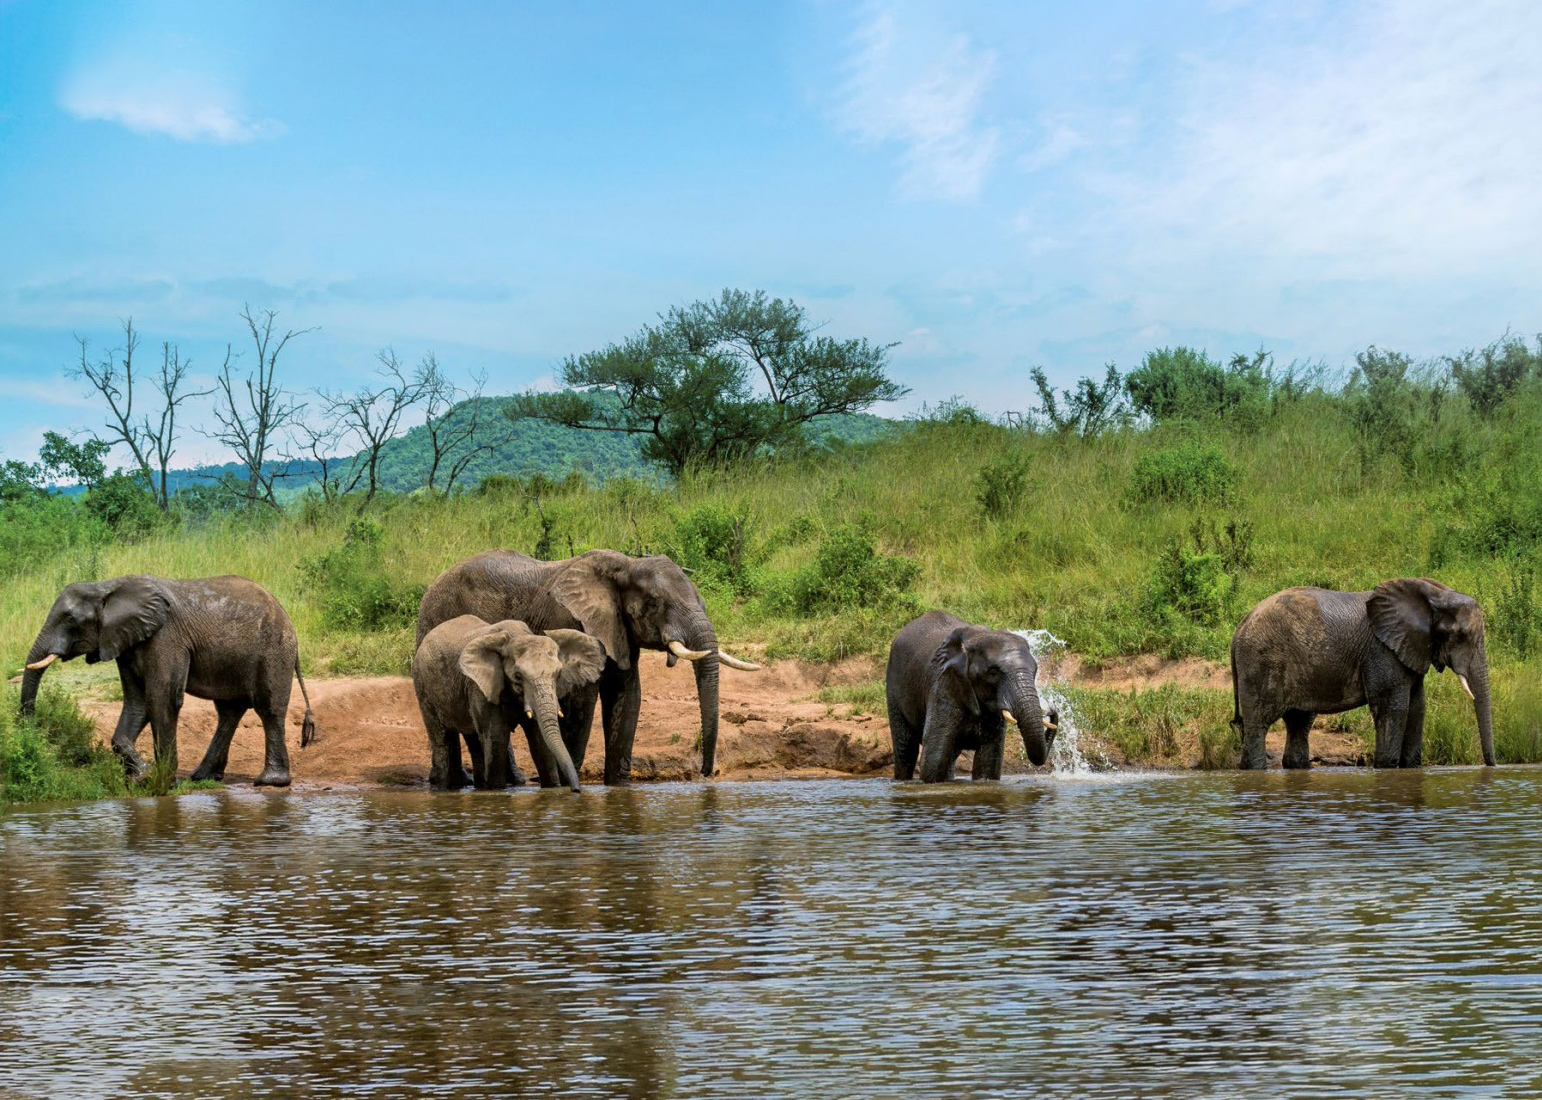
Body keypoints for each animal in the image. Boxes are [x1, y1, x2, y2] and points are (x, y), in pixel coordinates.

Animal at [18, 574, 316, 787]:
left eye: (70, 619)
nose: (32, 731)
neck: (107, 586)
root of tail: (286, 616)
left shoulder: (166, 637)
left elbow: (162, 698)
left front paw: (161, 780)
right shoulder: (126, 642)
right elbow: (137, 703)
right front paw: (144, 775)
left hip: (274, 649)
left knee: (269, 709)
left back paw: (270, 782)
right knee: (229, 711)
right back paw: (203, 777)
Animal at [413, 616, 608, 791]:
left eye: (558, 674)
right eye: (518, 677)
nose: (576, 790)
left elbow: (539, 740)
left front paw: (553, 788)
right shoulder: (481, 686)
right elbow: (496, 737)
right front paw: (497, 790)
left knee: (474, 739)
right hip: (423, 686)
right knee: (442, 739)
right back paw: (444, 789)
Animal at [885, 610, 1059, 782]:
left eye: (1035, 670)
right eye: (993, 672)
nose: (1051, 710)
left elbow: (988, 763)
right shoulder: (943, 684)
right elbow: (934, 759)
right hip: (893, 686)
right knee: (906, 749)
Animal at [1230, 578, 1493, 769]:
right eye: (1460, 636)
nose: (1491, 766)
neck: (1434, 593)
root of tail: (1239, 627)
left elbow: (1418, 708)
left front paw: (1411, 767)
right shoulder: (1381, 651)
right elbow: (1393, 707)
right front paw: (1386, 767)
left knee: (1299, 721)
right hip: (1261, 662)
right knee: (1259, 722)